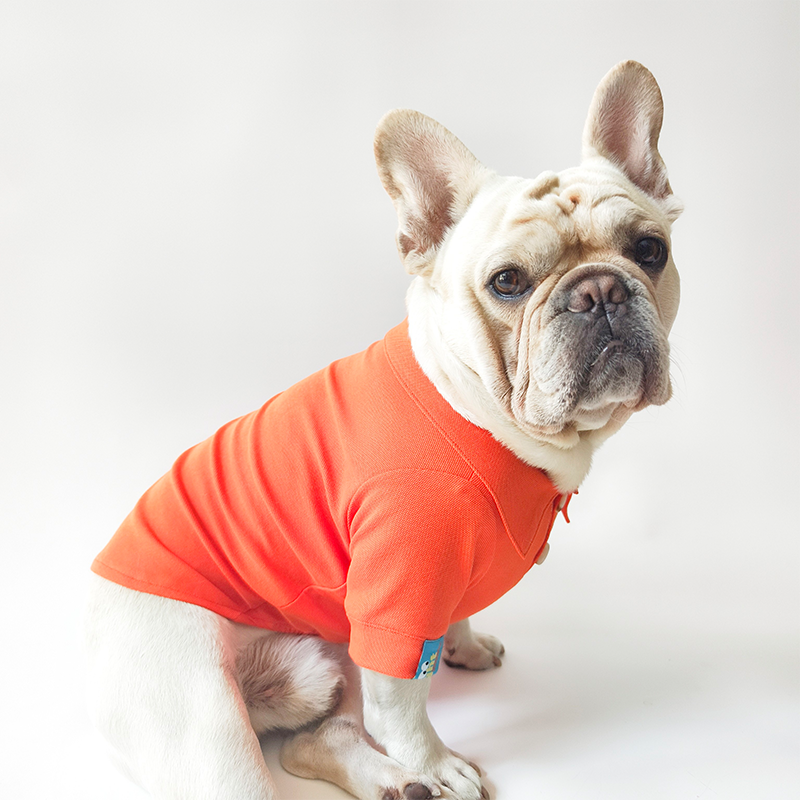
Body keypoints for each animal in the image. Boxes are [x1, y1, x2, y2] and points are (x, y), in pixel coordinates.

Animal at [85, 61, 682, 800]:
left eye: (650, 250)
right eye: (507, 282)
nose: (601, 291)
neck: (473, 409)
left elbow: (451, 617)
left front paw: (465, 645)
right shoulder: (398, 596)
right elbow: (401, 705)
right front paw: (434, 760)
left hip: (330, 658)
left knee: (315, 739)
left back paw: (394, 784)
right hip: (208, 720)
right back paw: (413, 778)